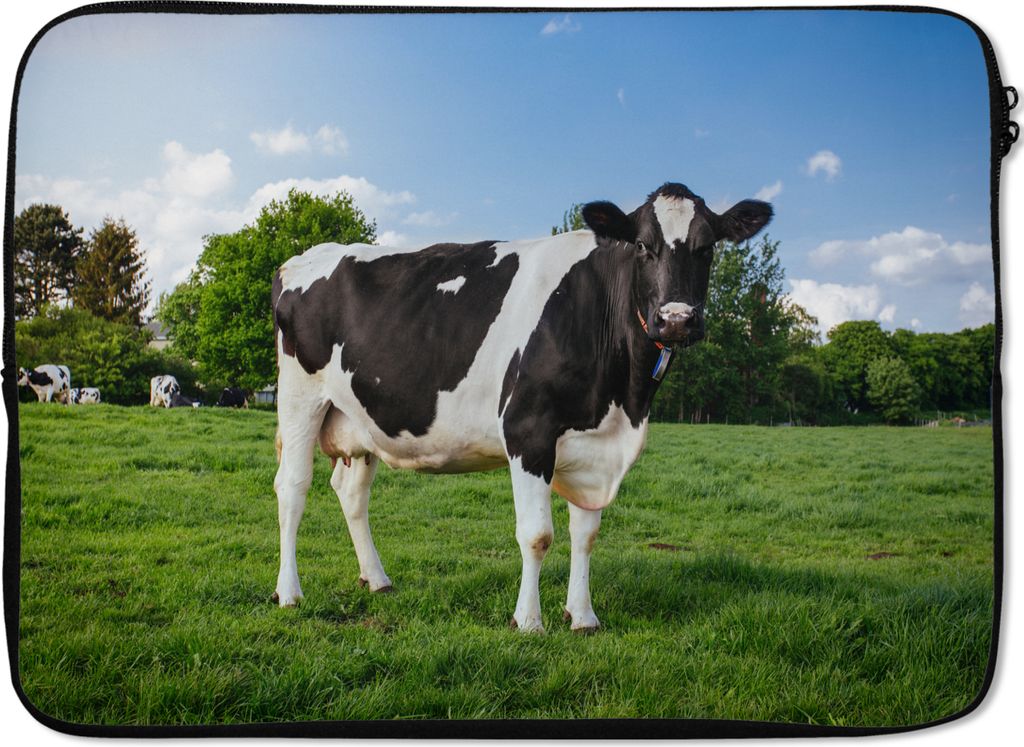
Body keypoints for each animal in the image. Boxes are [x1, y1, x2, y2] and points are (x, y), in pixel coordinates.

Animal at [271, 182, 772, 632]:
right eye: (643, 246)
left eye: (707, 248)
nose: (677, 320)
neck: (622, 402)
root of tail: (302, 257)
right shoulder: (528, 430)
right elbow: (537, 535)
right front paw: (529, 621)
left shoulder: (594, 446)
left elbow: (586, 534)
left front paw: (583, 617)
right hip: (299, 397)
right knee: (293, 486)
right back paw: (289, 592)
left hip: (361, 419)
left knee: (351, 493)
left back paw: (376, 579)